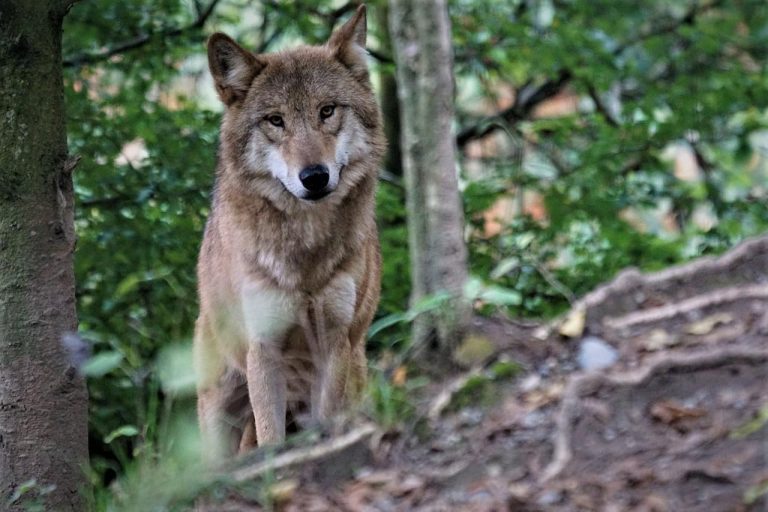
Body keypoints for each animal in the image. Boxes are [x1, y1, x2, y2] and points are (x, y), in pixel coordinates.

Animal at [194, 4, 385, 460]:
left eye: (327, 111)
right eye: (275, 121)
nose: (314, 177)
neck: (305, 252)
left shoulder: (334, 341)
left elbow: (327, 418)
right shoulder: (264, 348)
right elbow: (270, 436)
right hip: (219, 406)